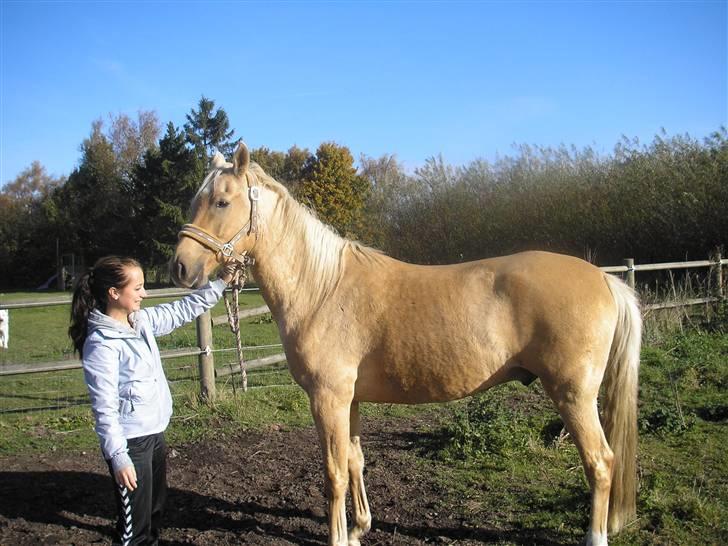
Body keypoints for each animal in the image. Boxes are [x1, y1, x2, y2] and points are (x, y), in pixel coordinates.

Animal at [172, 141, 644, 544]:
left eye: (221, 201)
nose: (180, 268)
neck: (321, 288)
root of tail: (603, 278)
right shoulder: (349, 400)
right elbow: (355, 461)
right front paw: (359, 528)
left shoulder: (327, 398)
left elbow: (333, 474)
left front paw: (338, 537)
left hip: (573, 395)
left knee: (601, 462)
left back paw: (595, 535)